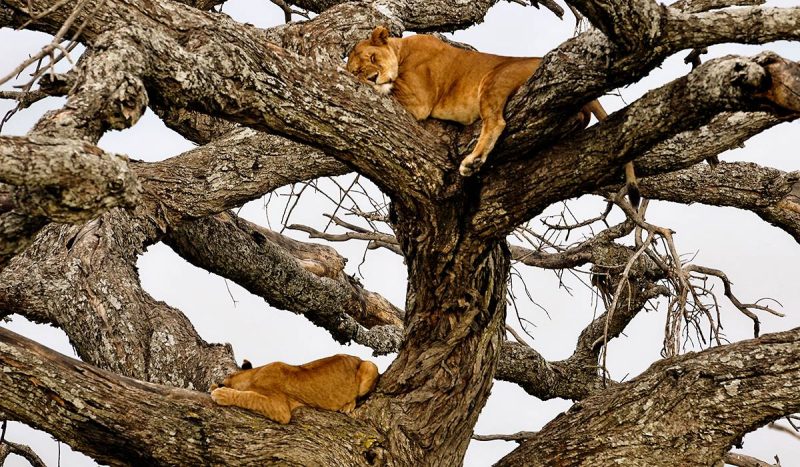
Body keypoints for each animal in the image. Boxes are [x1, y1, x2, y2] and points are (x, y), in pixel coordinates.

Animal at [210, 354, 379, 424]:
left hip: (370, 366)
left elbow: (249, 397)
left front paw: (220, 393)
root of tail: (359, 358)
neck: (252, 374)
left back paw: (347, 405)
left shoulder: (281, 408)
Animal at [347, 26, 639, 206]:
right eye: (357, 71)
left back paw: (472, 162)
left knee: (496, 122)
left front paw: (381, 85)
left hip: (494, 78)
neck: (402, 50)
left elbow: (393, 89)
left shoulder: (418, 100)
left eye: (372, 58)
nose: (371, 77)